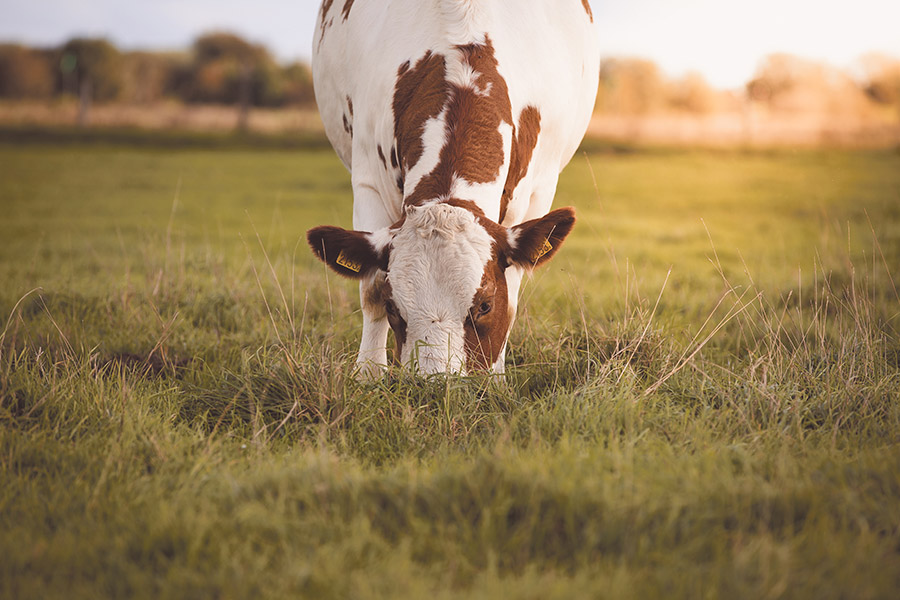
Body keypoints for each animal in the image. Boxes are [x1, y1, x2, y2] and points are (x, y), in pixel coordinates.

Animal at [308, 0, 600, 376]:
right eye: (394, 307)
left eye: (485, 305)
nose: (437, 382)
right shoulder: (368, 179)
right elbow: (370, 288)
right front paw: (369, 375)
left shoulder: (538, 191)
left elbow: (513, 292)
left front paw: (495, 377)